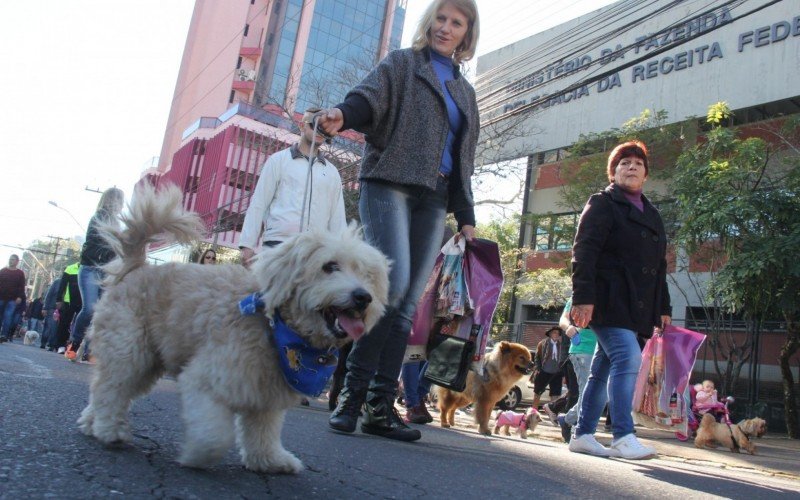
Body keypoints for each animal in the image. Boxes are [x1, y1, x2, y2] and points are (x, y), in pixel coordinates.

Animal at [76, 186, 390, 474]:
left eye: (367, 275)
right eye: (330, 266)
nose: (363, 297)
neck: (275, 328)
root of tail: (137, 267)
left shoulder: (266, 395)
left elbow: (263, 432)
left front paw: (269, 460)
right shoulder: (206, 379)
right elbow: (214, 434)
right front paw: (198, 455)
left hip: (146, 360)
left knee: (109, 389)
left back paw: (92, 422)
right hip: (129, 351)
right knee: (110, 390)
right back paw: (109, 429)